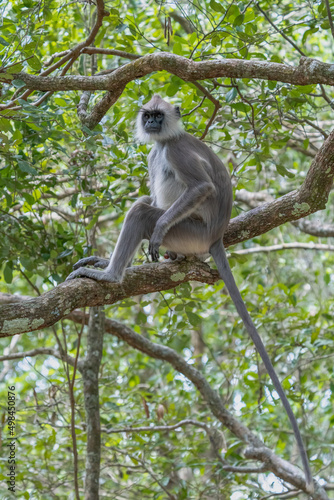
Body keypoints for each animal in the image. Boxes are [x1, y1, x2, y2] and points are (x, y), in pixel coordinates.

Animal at [67, 94, 314, 488]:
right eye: (148, 116)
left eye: (158, 116)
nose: (153, 124)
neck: (164, 141)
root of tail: (215, 236)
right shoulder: (156, 152)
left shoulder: (175, 151)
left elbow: (201, 189)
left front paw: (148, 236)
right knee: (146, 203)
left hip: (190, 231)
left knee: (142, 211)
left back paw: (112, 275)